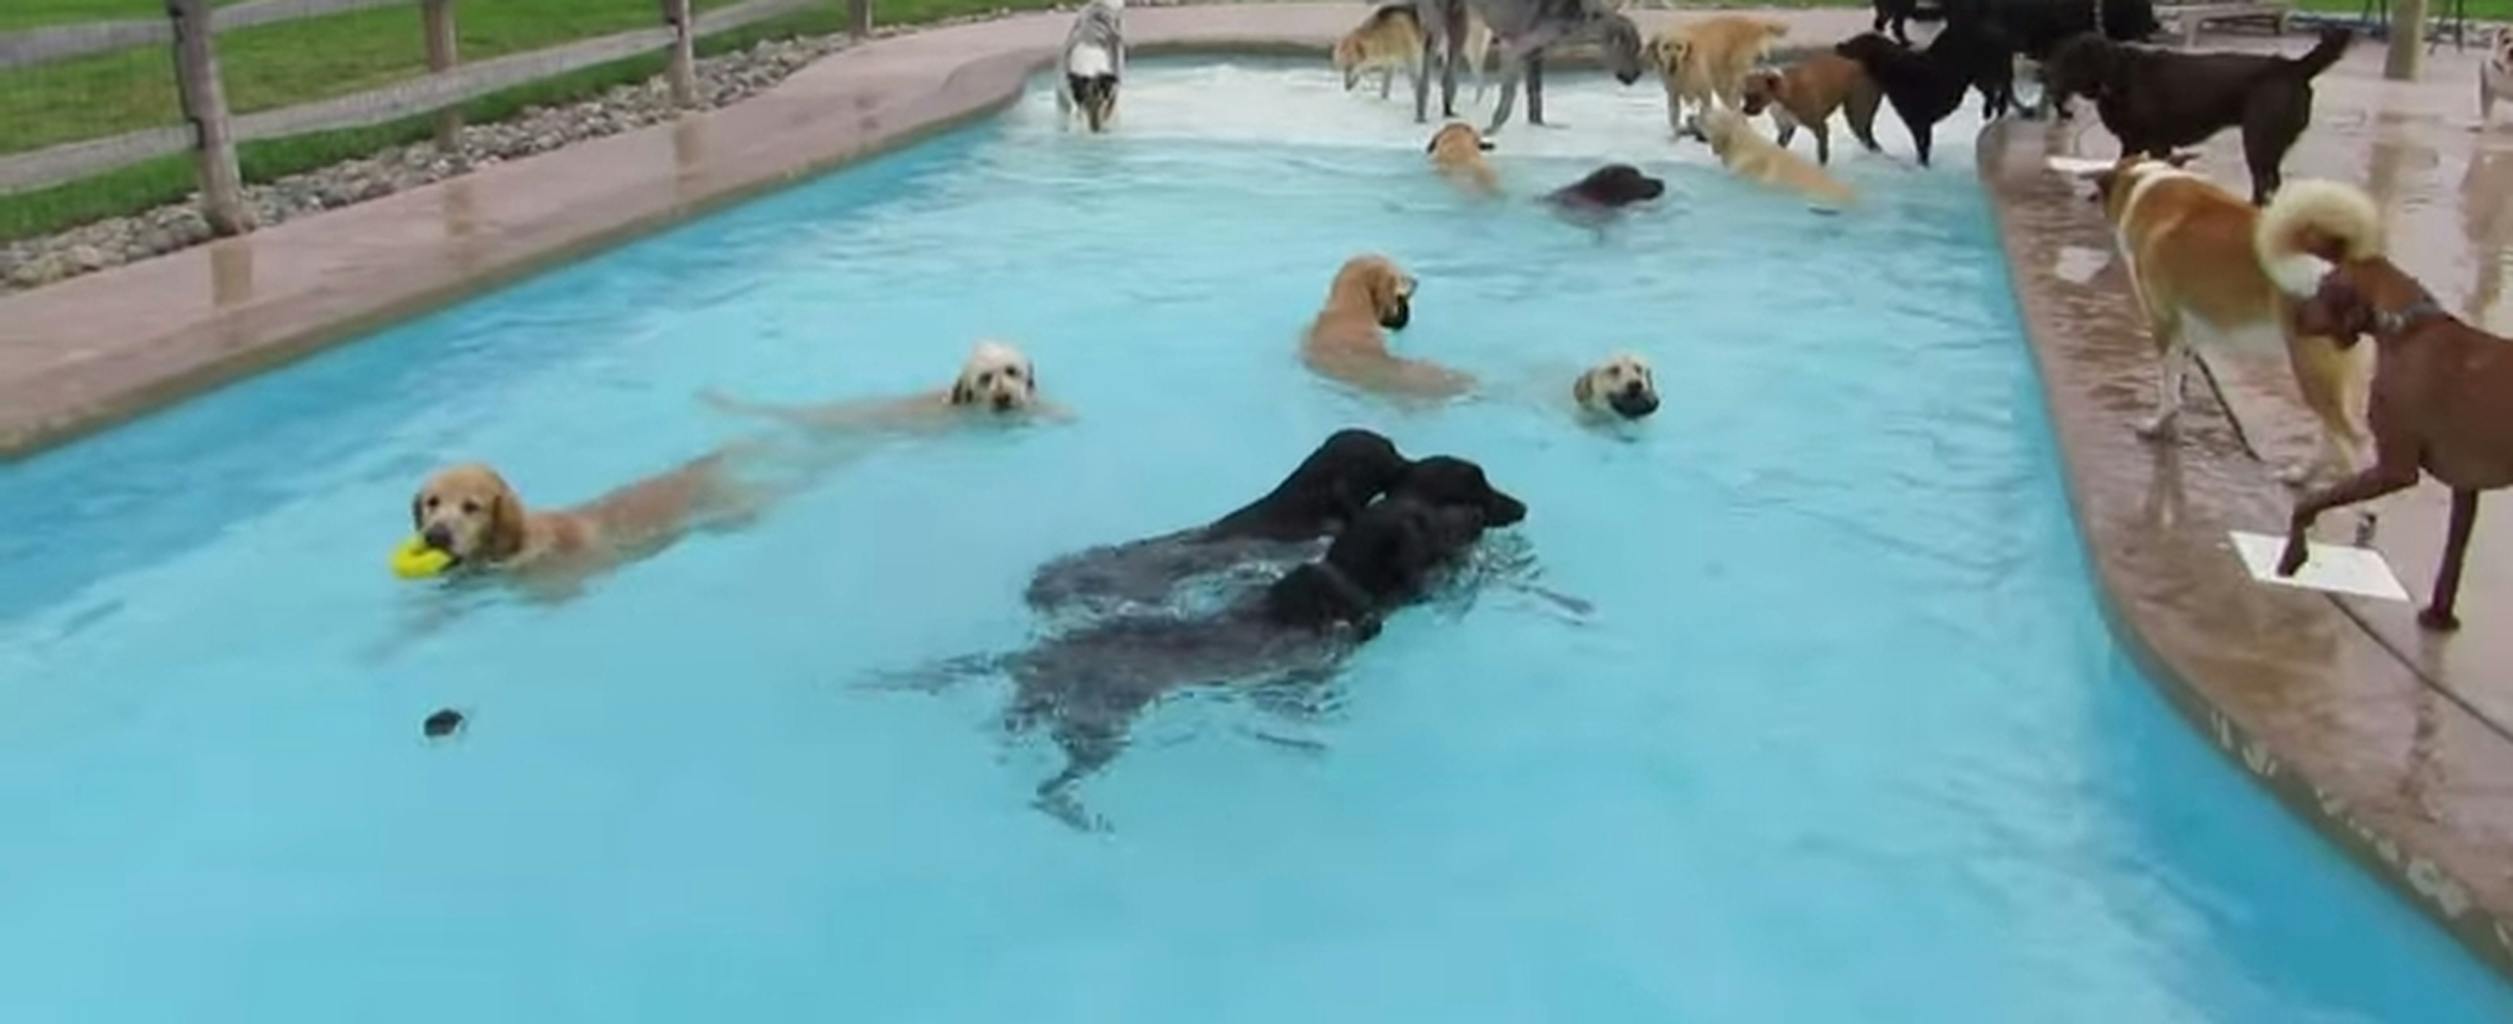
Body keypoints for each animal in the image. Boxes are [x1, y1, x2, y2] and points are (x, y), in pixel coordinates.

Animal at [1648, 16, 1789, 137]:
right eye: (1666, 47)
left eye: (1679, 47)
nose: (1673, 65)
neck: (1684, 67)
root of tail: (1755, 24)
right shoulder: (1673, 93)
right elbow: (1674, 116)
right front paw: (1677, 132)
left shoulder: (1704, 91)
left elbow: (1705, 112)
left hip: (1726, 83)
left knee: (1736, 108)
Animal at [1749, 55, 1889, 166]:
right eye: (1745, 95)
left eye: (1757, 96)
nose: (1745, 110)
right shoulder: (1786, 129)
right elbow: (1779, 145)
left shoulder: (1820, 127)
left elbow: (1822, 153)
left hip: (1856, 116)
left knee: (1866, 136)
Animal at [2040, 27, 2352, 205]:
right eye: (2055, 56)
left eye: (2070, 60)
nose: (2045, 79)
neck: (2118, 75)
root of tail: (2293, 67)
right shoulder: (2131, 141)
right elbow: (2119, 165)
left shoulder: (2157, 143)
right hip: (2268, 144)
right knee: (2271, 182)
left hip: (2257, 139)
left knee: (2264, 183)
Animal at [2090, 156, 2362, 485]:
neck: (2147, 184)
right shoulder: (2186, 333)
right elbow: (2177, 385)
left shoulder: (2164, 324)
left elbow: (2167, 388)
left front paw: (2156, 425)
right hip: (2329, 376)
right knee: (2330, 433)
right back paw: (2301, 475)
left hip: (2312, 368)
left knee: (2348, 441)